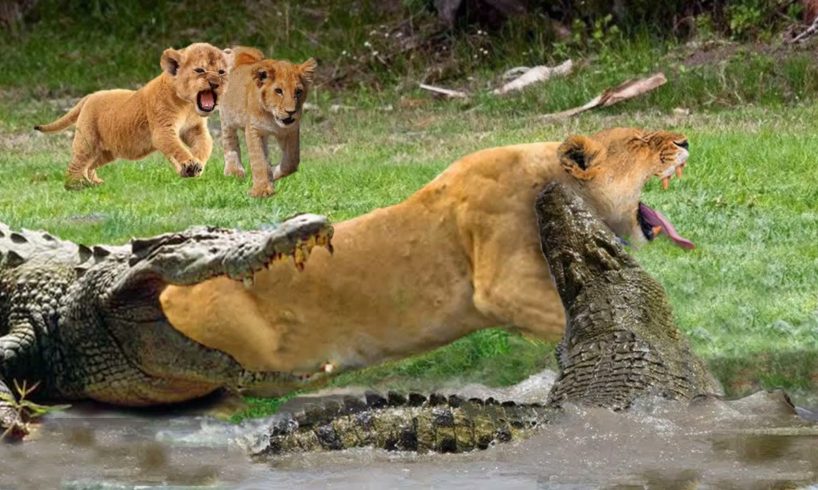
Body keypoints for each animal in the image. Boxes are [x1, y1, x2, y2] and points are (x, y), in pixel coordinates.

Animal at [35, 42, 229, 189]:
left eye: (221, 72)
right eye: (200, 70)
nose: (215, 83)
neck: (188, 106)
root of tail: (90, 96)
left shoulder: (196, 129)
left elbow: (204, 145)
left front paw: (196, 164)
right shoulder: (163, 130)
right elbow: (177, 147)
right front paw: (189, 164)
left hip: (107, 150)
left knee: (90, 165)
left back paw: (95, 183)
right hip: (87, 141)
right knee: (75, 165)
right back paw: (76, 186)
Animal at [219, 46, 317, 197]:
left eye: (298, 91)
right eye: (278, 91)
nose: (291, 111)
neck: (272, 118)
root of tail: (242, 51)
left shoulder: (290, 131)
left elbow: (291, 161)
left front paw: (272, 174)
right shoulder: (253, 130)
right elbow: (259, 160)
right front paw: (261, 190)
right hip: (226, 117)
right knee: (229, 140)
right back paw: (233, 171)